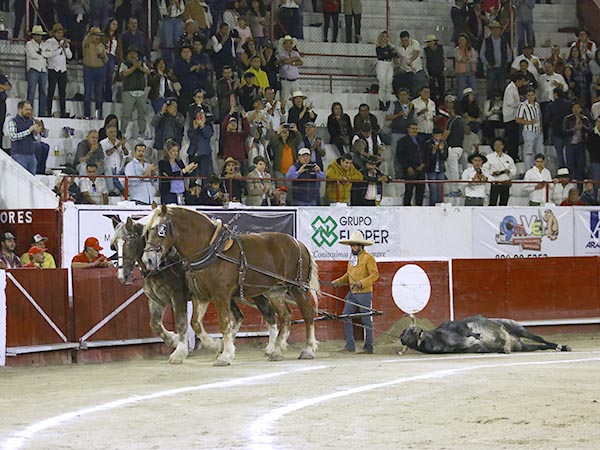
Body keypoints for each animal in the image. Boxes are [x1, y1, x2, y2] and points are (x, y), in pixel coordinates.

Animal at [142, 206, 318, 368]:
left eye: (161, 230)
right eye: (147, 231)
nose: (148, 260)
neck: (210, 250)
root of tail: (299, 244)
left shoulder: (221, 295)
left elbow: (224, 322)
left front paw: (225, 355)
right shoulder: (201, 296)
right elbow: (195, 324)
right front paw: (215, 345)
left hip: (297, 288)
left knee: (308, 313)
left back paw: (308, 349)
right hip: (276, 291)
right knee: (286, 316)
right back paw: (276, 350)